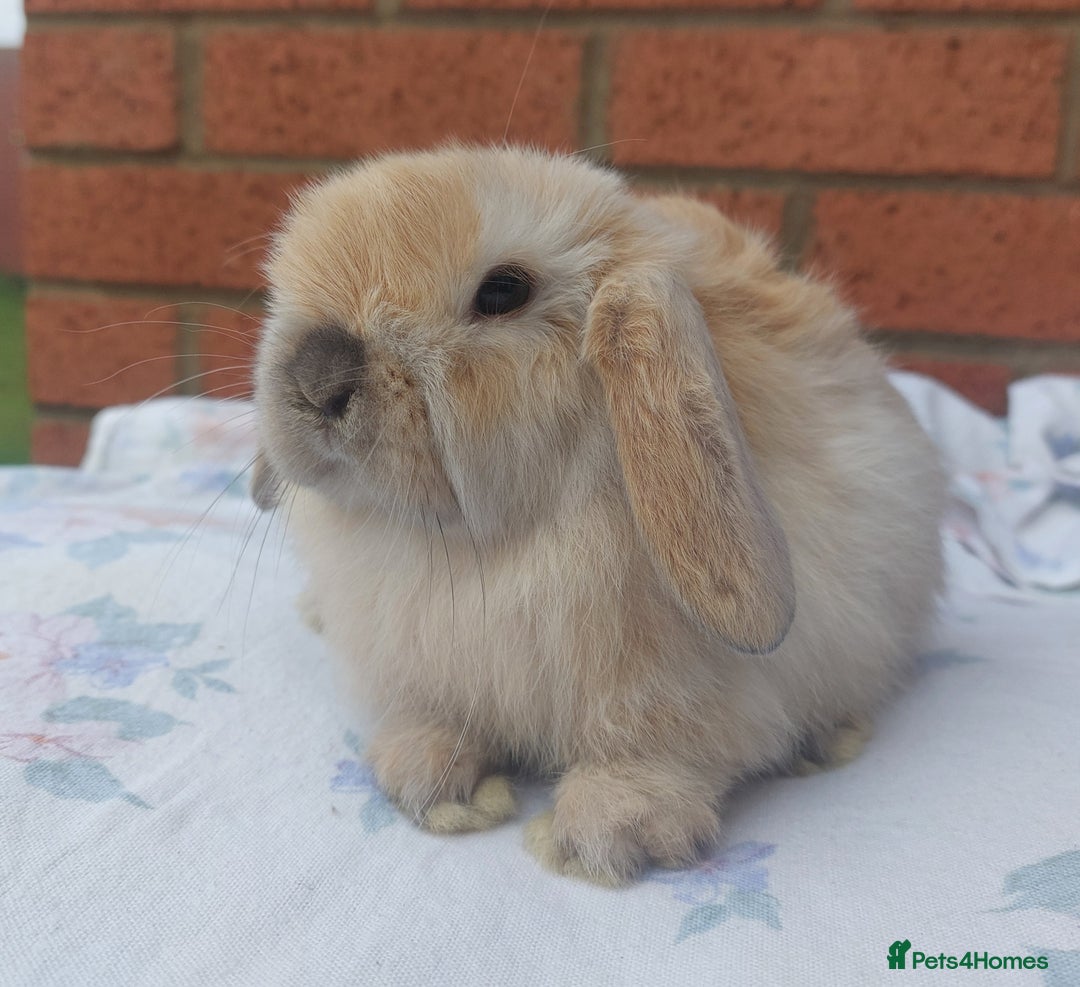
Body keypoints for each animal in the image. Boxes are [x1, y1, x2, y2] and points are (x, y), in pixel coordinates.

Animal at [252, 144, 945, 886]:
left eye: (503, 292)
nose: (316, 379)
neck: (475, 545)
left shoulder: (683, 698)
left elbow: (659, 751)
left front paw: (603, 834)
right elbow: (434, 718)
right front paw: (428, 779)